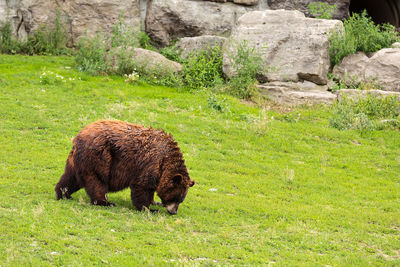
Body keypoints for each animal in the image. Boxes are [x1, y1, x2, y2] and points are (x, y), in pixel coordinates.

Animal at [55, 120, 195, 215]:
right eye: (176, 197)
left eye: (181, 200)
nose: (174, 212)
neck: (165, 162)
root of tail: (78, 137)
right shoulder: (150, 164)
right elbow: (142, 187)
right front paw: (149, 208)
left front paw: (155, 202)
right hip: (100, 157)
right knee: (97, 181)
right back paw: (105, 202)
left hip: (78, 161)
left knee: (70, 177)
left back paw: (63, 193)